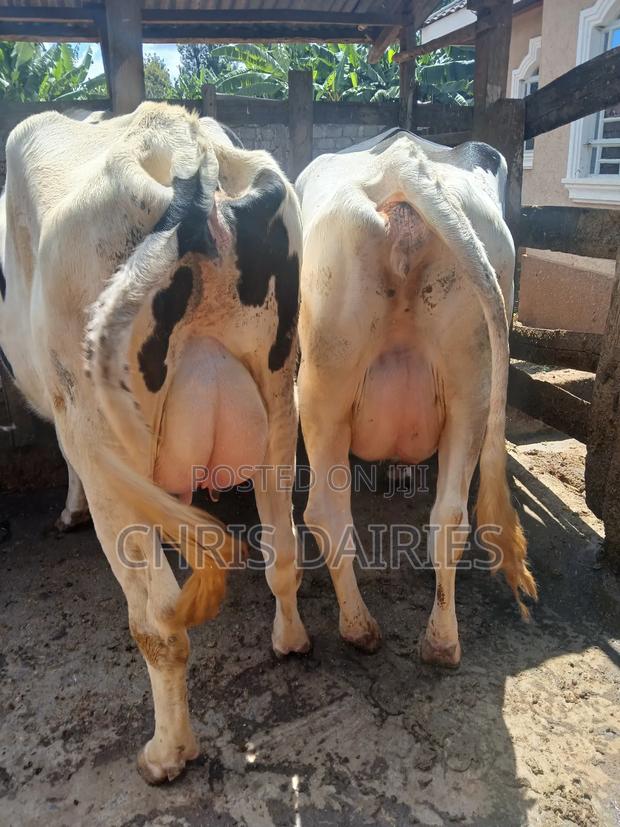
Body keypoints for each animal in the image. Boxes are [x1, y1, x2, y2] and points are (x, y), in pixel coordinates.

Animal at [0, 102, 310, 782]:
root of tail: (186, 150)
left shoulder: (71, 416)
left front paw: (68, 511)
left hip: (105, 442)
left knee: (159, 623)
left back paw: (166, 753)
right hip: (279, 400)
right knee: (283, 550)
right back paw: (291, 641)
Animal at [296, 129, 537, 667]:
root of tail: (402, 164)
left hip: (325, 386)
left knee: (327, 513)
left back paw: (361, 628)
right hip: (472, 383)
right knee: (449, 518)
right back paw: (442, 642)